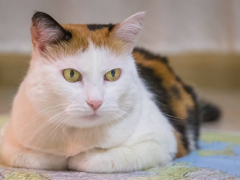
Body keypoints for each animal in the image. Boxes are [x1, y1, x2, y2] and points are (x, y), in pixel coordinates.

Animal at [0, 11, 220, 173]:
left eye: (113, 74)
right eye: (71, 74)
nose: (95, 102)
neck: (75, 137)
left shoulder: (163, 142)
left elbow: (97, 160)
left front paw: (77, 158)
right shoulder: (8, 139)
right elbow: (31, 156)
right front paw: (57, 157)